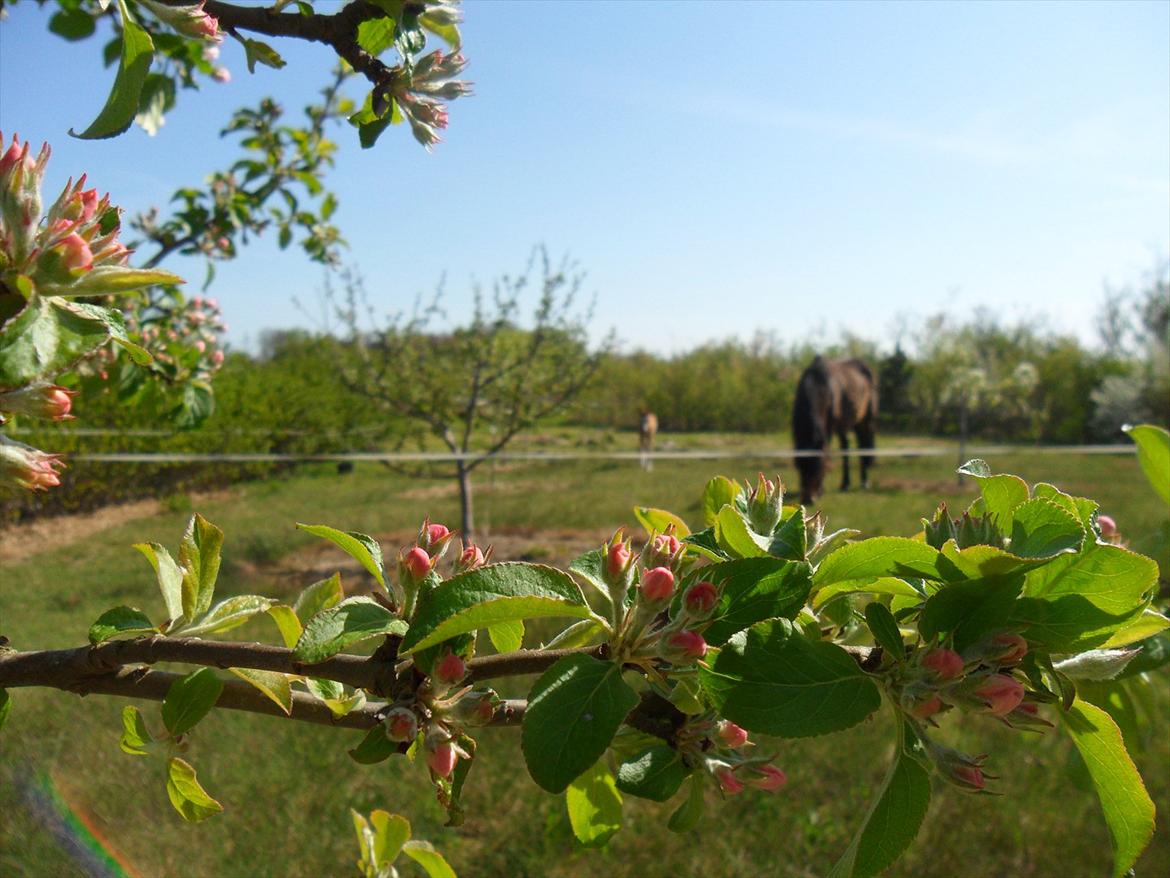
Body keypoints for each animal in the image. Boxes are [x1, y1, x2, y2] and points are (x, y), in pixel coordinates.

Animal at [790, 358, 875, 505]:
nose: (808, 499)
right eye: (799, 466)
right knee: (846, 446)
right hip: (845, 424)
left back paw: (865, 482)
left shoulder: (829, 427)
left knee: (863, 445)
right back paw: (845, 484)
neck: (820, 385)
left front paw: (820, 490)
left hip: (865, 420)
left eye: (819, 467)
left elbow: (826, 452)